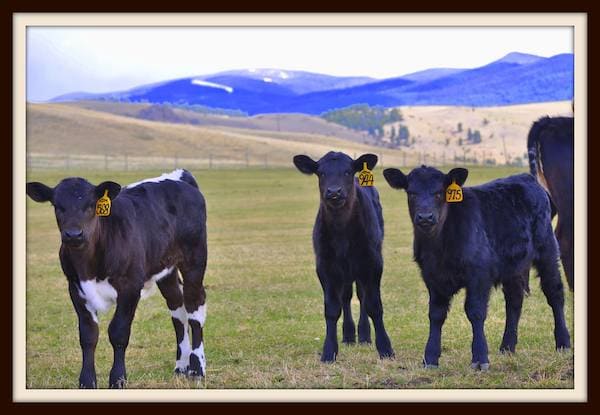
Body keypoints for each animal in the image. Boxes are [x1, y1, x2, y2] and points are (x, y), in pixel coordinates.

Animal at [26, 169, 209, 390]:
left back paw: (197, 369)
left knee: (194, 305)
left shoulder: (130, 286)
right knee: (177, 307)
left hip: (195, 258)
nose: (73, 234)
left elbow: (118, 332)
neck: (89, 267)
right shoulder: (75, 287)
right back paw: (181, 367)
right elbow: (88, 335)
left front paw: (118, 379)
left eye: (91, 205)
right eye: (57, 206)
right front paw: (87, 381)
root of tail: (180, 176)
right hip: (166, 268)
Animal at [294, 153, 396, 364]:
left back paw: (364, 335)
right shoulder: (325, 267)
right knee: (347, 298)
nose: (334, 192)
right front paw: (328, 352)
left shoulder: (373, 264)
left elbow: (374, 306)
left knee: (362, 296)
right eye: (321, 173)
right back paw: (349, 335)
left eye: (348, 171)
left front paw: (385, 349)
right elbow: (332, 309)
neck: (342, 231)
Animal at [382, 165, 568, 370]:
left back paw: (563, 343)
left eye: (439, 193)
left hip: (547, 250)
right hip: (513, 265)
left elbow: (475, 311)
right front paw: (430, 358)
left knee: (554, 293)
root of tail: (526, 177)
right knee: (514, 300)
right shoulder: (432, 277)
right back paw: (507, 347)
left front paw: (480, 357)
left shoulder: (478, 275)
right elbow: (436, 314)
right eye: (411, 193)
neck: (439, 247)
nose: (425, 217)